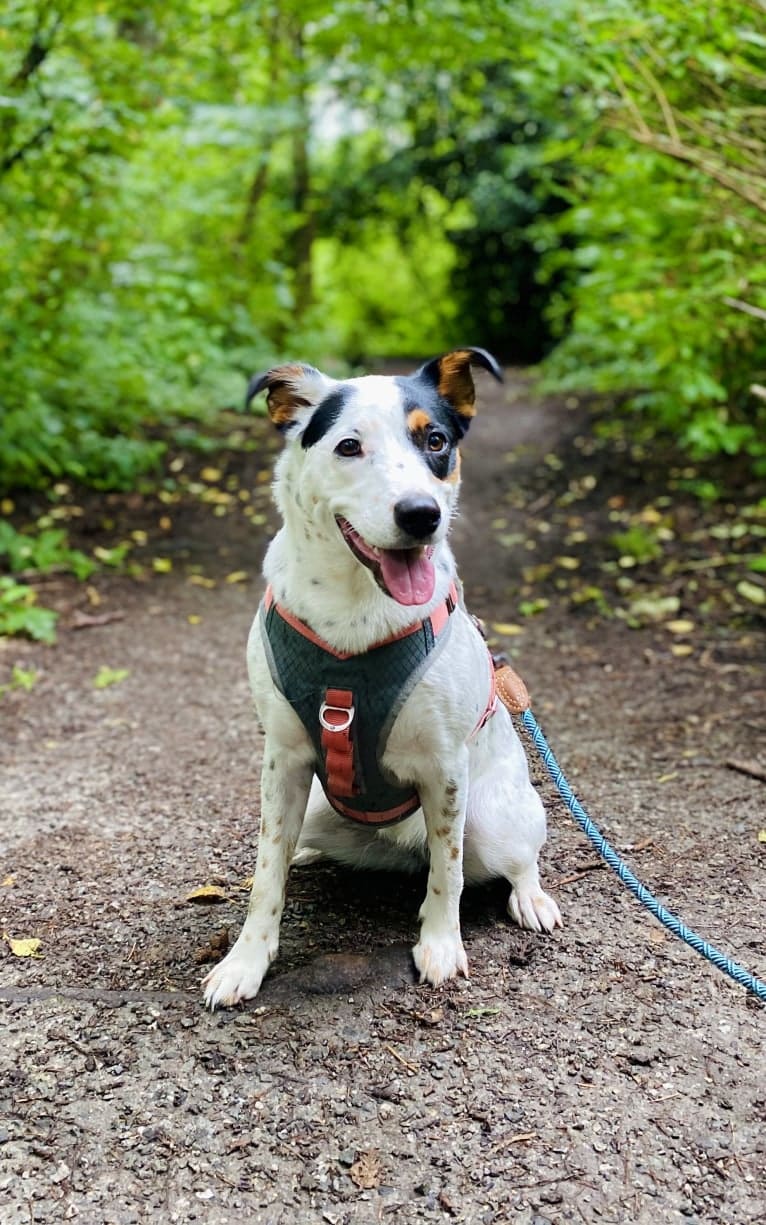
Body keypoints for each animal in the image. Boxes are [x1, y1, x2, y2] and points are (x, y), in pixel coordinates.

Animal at [203, 350, 561, 1009]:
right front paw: (245, 961)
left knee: (510, 858)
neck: (354, 609)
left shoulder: (446, 769)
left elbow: (448, 874)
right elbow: (266, 873)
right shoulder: (283, 759)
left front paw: (440, 945)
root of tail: (399, 850)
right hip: (322, 808)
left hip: (494, 818)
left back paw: (531, 898)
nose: (421, 515)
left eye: (436, 440)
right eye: (349, 446)